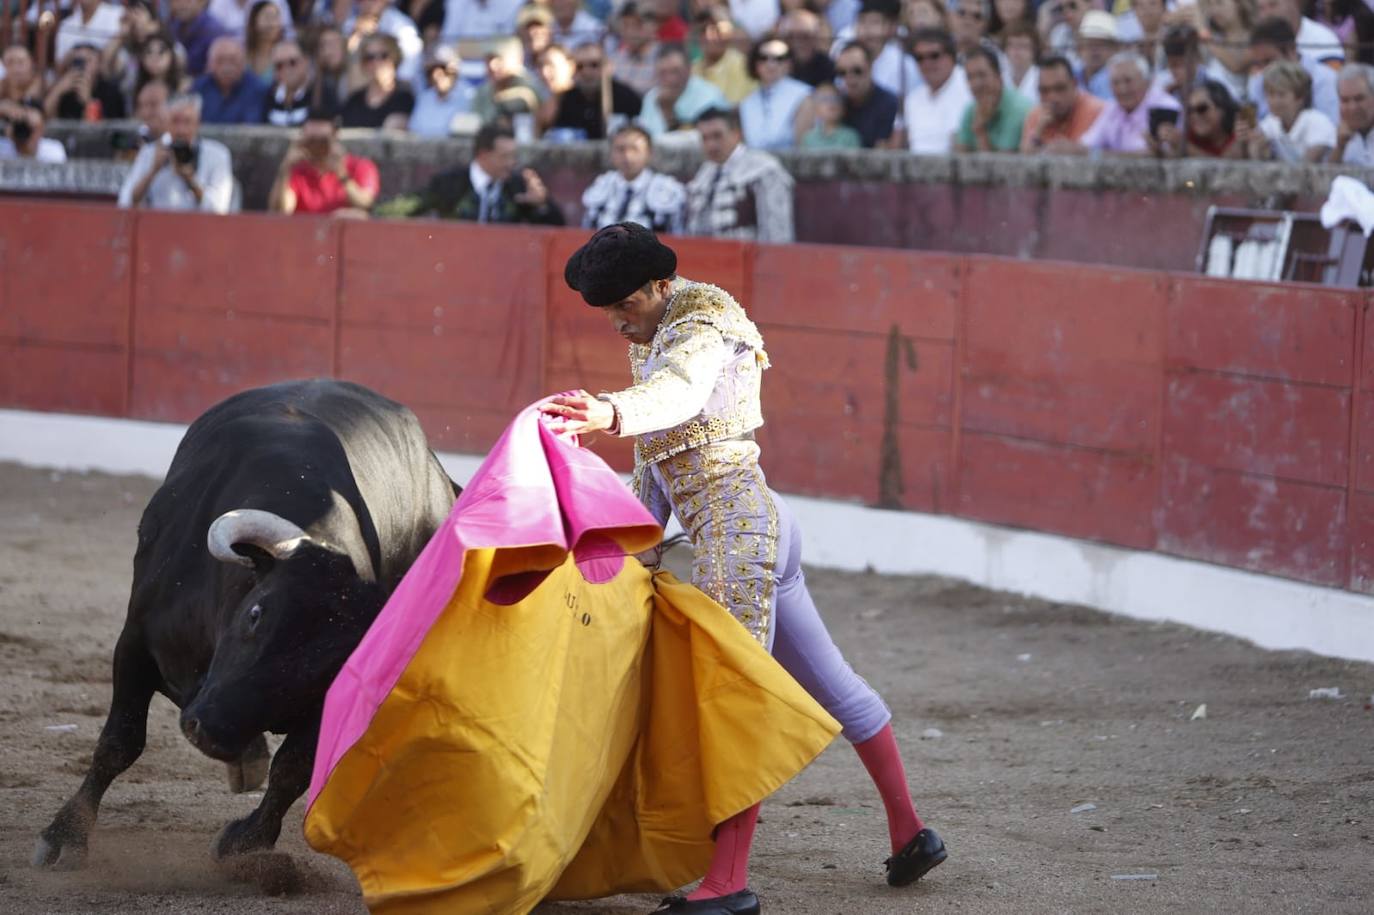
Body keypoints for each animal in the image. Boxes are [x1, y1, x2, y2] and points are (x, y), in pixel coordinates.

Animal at [32, 376, 458, 862]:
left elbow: (293, 768)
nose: (211, 734)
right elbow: (120, 741)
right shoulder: (135, 641)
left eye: (330, 668)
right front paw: (64, 836)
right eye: (256, 614)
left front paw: (248, 845)